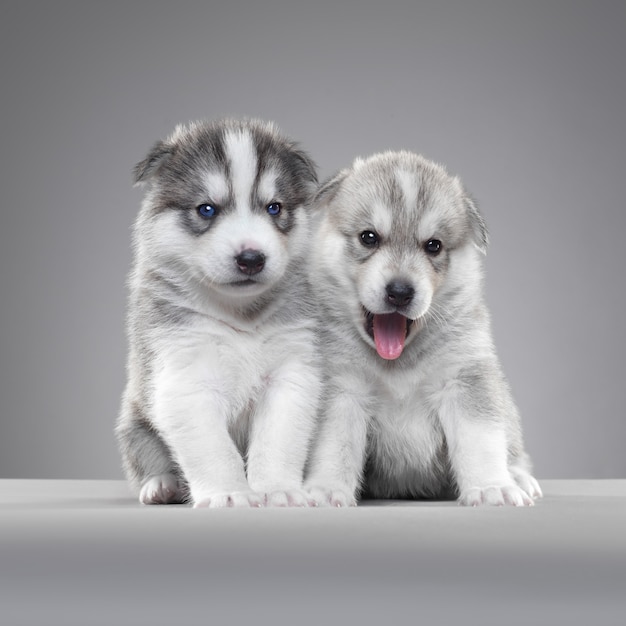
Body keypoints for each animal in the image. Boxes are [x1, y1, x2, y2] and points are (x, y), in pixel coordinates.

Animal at [117, 118, 320, 508]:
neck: (240, 314)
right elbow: (214, 449)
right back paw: (161, 485)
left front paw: (277, 489)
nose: (252, 258)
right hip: (134, 421)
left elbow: (277, 440)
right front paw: (228, 493)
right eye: (206, 209)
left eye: (274, 208)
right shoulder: (184, 378)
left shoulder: (290, 374)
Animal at [304, 152, 540, 508]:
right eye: (368, 237)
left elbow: (480, 440)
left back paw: (519, 477)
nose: (400, 292)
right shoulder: (343, 388)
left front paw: (490, 487)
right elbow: (333, 444)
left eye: (434, 246)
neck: (398, 362)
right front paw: (325, 488)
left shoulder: (465, 379)